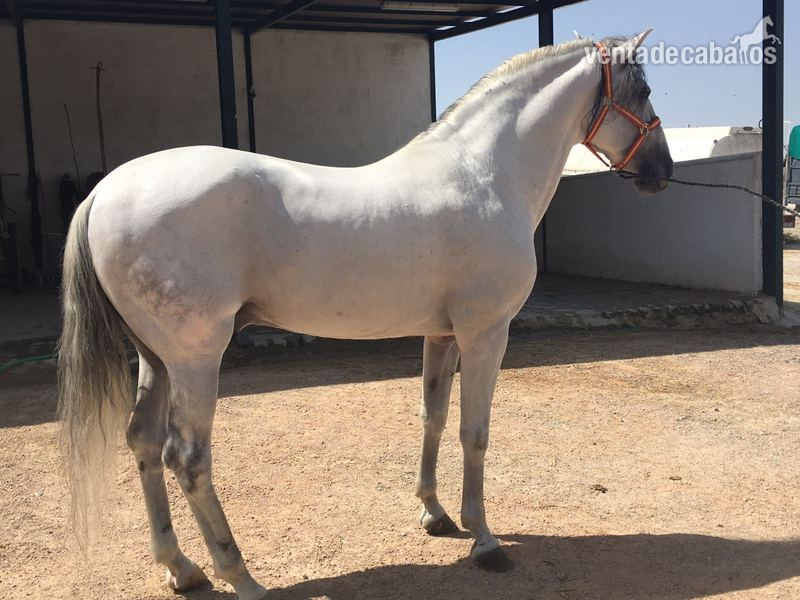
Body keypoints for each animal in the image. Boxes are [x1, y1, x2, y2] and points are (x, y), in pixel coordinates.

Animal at [58, 30, 673, 599]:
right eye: (642, 92)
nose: (661, 170)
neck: (484, 173)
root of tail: (105, 191)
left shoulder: (441, 335)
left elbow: (433, 417)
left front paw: (434, 514)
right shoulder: (486, 334)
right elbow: (475, 432)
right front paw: (485, 540)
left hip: (156, 356)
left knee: (143, 443)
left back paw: (182, 569)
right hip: (195, 358)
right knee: (187, 459)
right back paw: (242, 577)